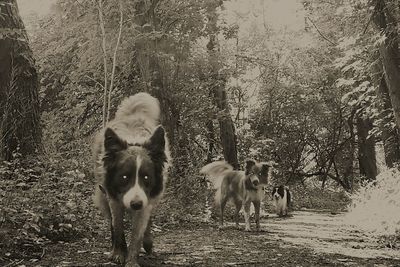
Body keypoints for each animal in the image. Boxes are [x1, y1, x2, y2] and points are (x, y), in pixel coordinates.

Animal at [93, 92, 170, 267]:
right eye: (124, 177)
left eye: (146, 177)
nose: (135, 204)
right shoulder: (113, 198)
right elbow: (117, 227)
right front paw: (118, 253)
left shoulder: (146, 201)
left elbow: (137, 234)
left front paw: (132, 260)